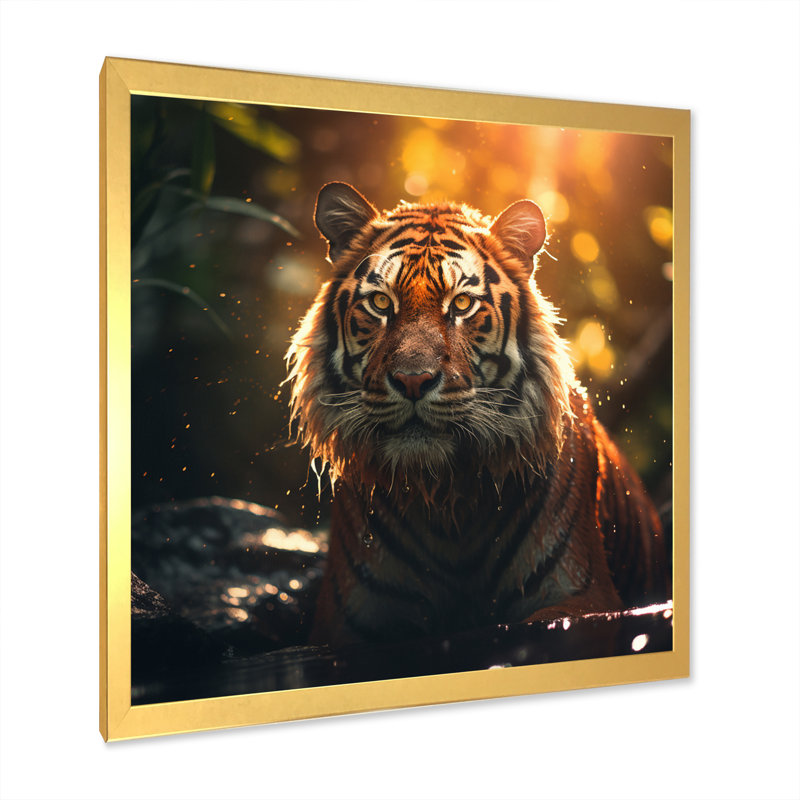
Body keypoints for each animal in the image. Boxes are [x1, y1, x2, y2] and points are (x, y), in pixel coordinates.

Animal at [285, 181, 667, 647]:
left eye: (462, 304)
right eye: (380, 303)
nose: (413, 380)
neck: (443, 496)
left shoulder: (583, 597)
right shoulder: (345, 623)